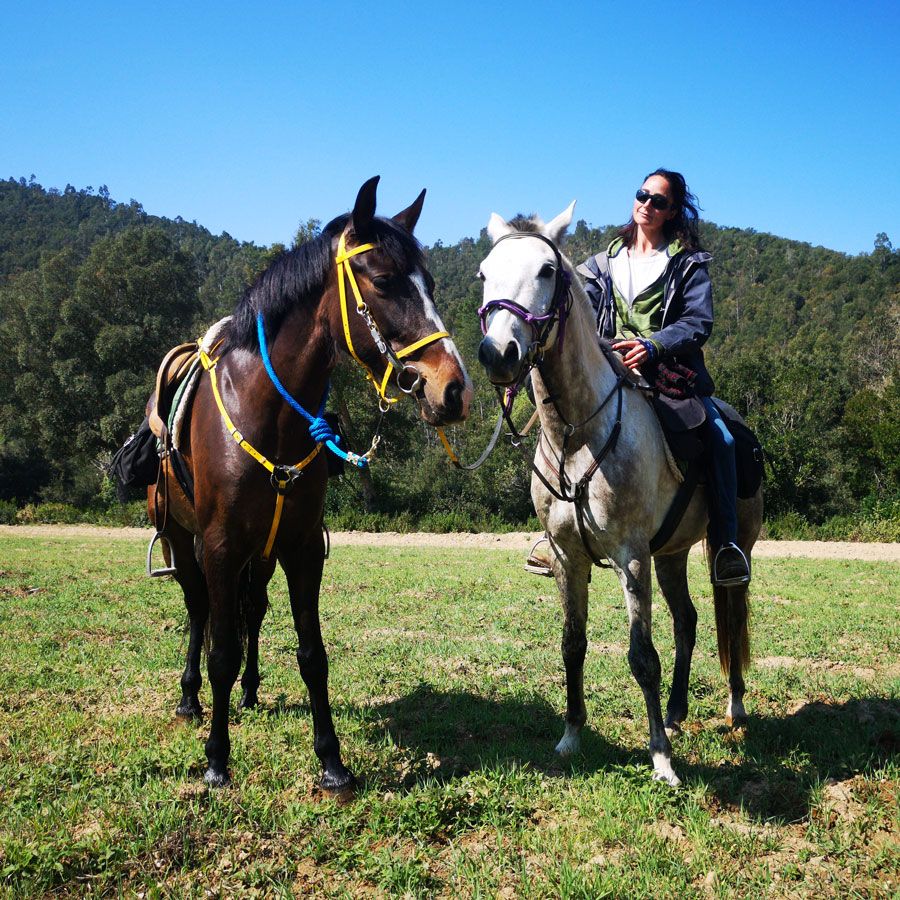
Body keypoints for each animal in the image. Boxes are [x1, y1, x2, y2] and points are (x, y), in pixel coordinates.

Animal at [146, 178, 472, 788]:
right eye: (385, 281)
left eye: (433, 285)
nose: (454, 389)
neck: (267, 414)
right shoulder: (219, 545)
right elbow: (220, 649)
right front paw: (217, 760)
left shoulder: (298, 548)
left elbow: (311, 654)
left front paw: (332, 763)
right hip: (182, 538)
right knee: (201, 612)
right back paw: (191, 700)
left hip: (261, 551)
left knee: (251, 610)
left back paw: (249, 692)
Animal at [474, 206, 764, 788]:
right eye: (485, 273)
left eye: (546, 270)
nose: (498, 353)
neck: (577, 433)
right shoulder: (569, 557)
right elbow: (572, 644)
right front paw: (570, 735)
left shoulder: (631, 556)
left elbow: (642, 657)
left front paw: (661, 760)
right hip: (671, 555)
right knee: (688, 620)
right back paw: (675, 712)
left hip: (729, 549)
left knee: (731, 612)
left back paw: (735, 706)